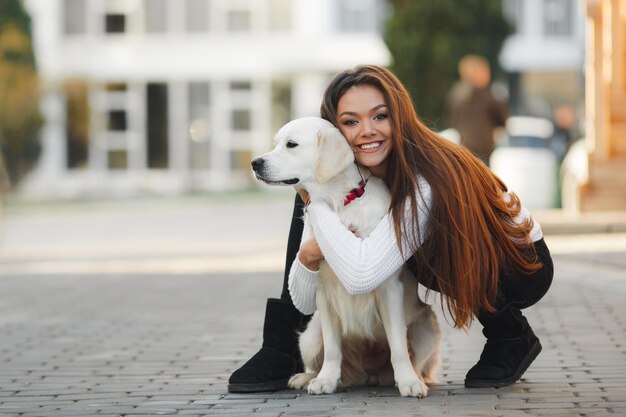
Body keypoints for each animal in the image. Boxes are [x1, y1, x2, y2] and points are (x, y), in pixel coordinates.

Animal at [250, 116, 438, 396]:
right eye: (276, 144)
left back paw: (412, 378)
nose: (255, 163)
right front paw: (326, 380)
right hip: (309, 335)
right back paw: (306, 377)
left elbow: (398, 347)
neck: (339, 203)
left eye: (291, 144)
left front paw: (408, 382)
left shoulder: (389, 289)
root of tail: (368, 375)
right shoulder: (323, 292)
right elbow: (332, 349)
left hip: (426, 329)